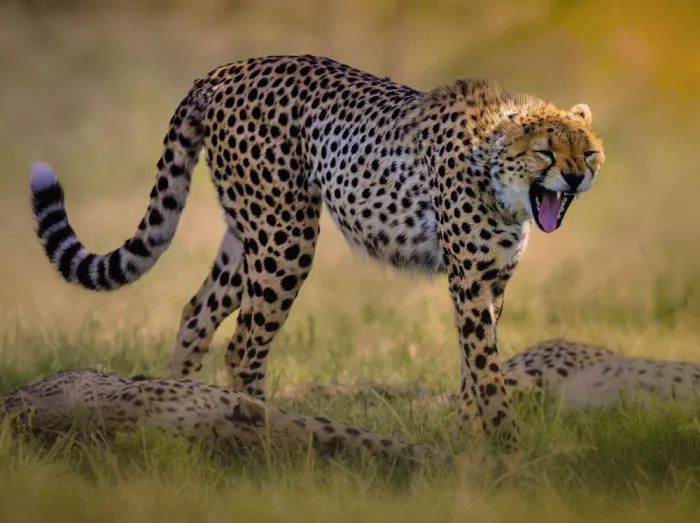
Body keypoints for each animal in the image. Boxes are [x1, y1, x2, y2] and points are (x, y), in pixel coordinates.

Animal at [29, 54, 605, 451]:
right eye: (546, 151)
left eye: (589, 151)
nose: (577, 177)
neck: (498, 176)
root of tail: (223, 70)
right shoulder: (468, 280)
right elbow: (485, 369)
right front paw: (507, 449)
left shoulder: (490, 284)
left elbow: (473, 368)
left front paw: (466, 443)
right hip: (285, 237)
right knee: (243, 346)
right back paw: (262, 438)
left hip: (249, 236)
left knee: (196, 314)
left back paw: (178, 412)